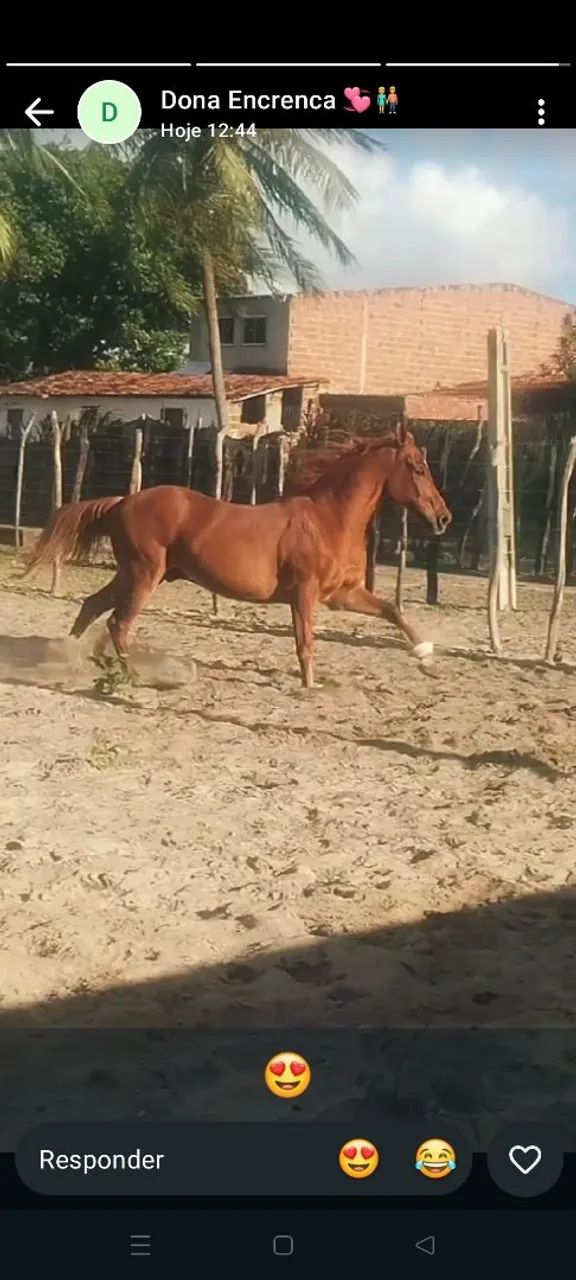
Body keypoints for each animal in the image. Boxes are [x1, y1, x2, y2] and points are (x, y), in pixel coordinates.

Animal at [25, 425, 451, 688]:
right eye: (417, 468)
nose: (444, 517)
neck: (328, 519)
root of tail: (122, 502)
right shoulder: (305, 593)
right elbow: (305, 642)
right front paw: (311, 686)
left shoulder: (342, 595)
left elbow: (393, 611)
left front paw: (425, 654)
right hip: (143, 575)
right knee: (119, 623)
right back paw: (134, 676)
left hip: (135, 575)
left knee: (92, 606)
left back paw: (67, 656)